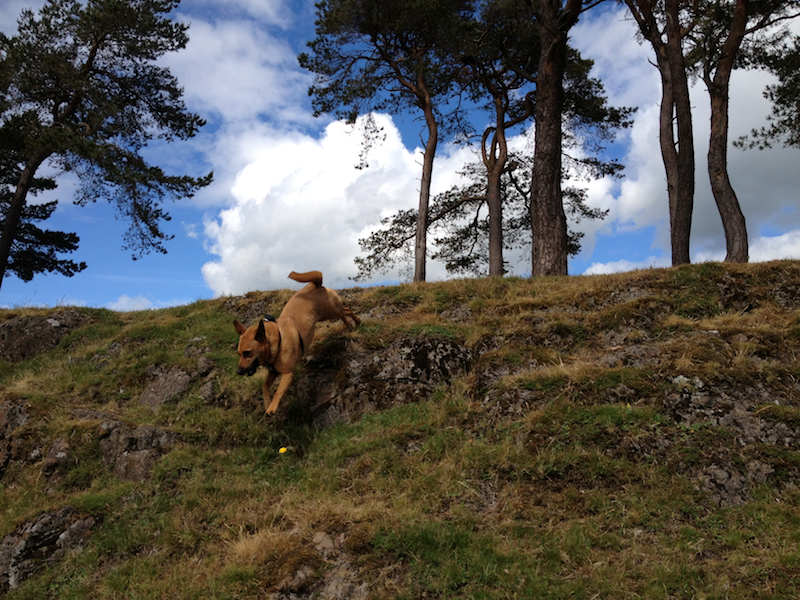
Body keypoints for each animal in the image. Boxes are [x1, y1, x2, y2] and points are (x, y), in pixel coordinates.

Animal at [233, 274, 360, 418]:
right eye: (239, 353)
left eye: (247, 353)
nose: (238, 372)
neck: (277, 339)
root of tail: (314, 284)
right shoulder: (273, 372)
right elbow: (264, 386)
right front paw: (267, 403)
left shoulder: (287, 374)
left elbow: (278, 391)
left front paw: (272, 407)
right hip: (324, 316)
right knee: (344, 313)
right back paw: (349, 325)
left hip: (333, 310)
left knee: (346, 310)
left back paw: (357, 320)